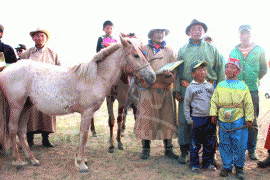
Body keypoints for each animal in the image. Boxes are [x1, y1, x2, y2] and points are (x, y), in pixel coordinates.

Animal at [0, 35, 156, 172]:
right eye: (136, 55)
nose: (152, 76)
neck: (95, 77)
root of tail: (6, 69)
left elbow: (83, 135)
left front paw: (81, 159)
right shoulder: (87, 113)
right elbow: (84, 135)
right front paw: (81, 163)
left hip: (26, 106)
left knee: (21, 131)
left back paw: (31, 159)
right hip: (17, 106)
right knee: (13, 129)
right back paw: (18, 162)